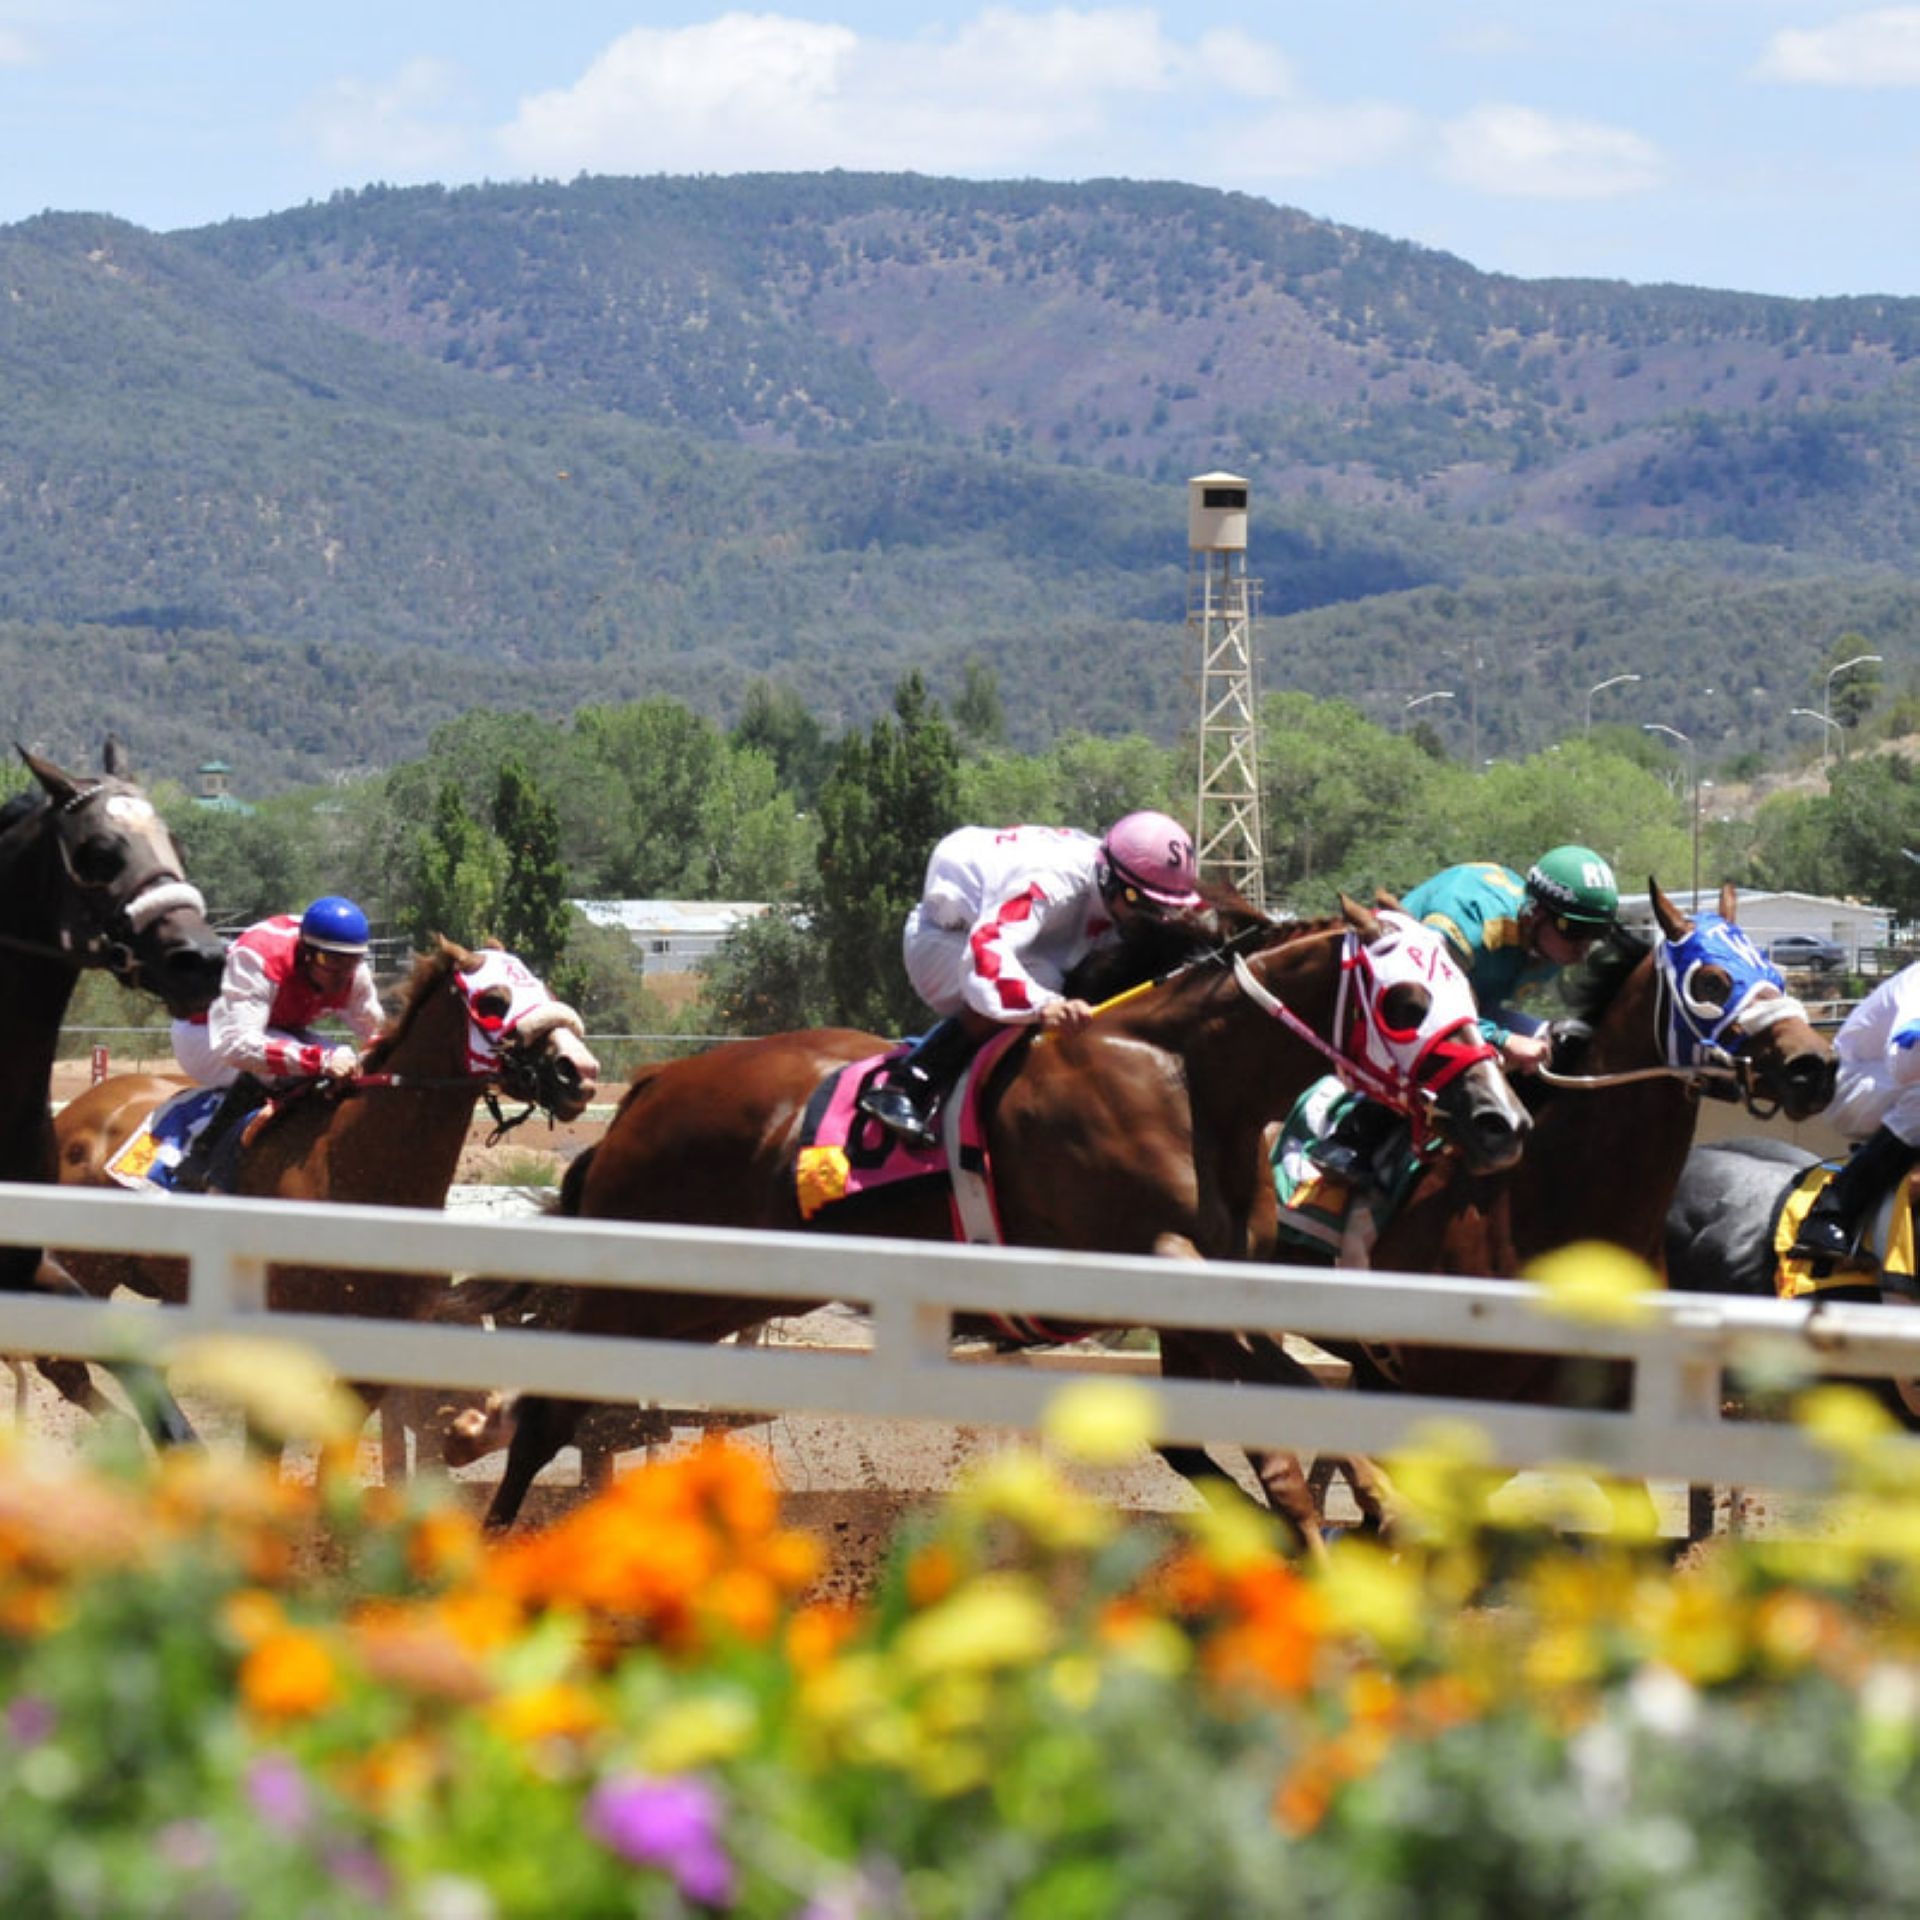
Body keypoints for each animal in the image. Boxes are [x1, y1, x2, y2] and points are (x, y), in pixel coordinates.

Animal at [48, 936, 599, 1436]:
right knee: (67, 1366)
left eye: (546, 988)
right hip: (86, 1268)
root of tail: (72, 1113)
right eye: (493, 1001)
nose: (581, 1073)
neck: (358, 1170)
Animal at [476, 890, 1528, 1536]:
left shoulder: (1212, 1296)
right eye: (1404, 999)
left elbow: (1239, 1447)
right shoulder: (1149, 1261)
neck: (1186, 1079)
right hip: (636, 1294)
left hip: (704, 1305)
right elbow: (1288, 1411)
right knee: (543, 1419)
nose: (1501, 1119)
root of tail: (647, 1091)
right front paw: (1379, 1511)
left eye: (1465, 989)